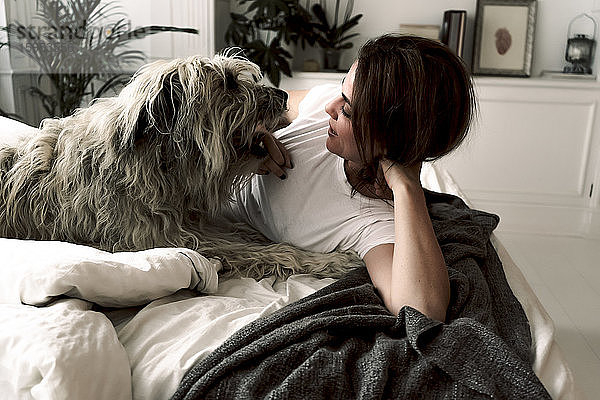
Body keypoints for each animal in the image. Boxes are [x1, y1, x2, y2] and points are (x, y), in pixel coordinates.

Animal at [0, 52, 358, 278]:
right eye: (229, 83)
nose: (284, 96)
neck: (161, 163)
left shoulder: (196, 222)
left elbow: (243, 232)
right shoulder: (173, 241)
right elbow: (265, 251)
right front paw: (331, 261)